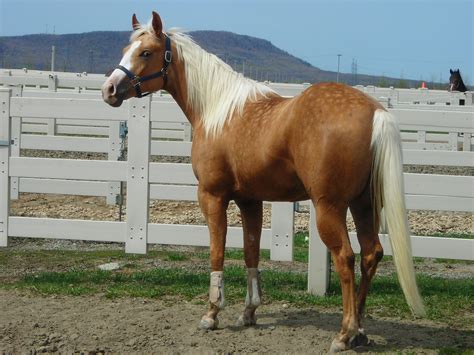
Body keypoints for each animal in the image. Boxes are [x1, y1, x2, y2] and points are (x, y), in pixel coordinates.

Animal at [102, 11, 424, 354]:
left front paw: (212, 314)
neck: (217, 111)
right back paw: (360, 329)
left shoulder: (212, 197)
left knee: (346, 258)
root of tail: (375, 111)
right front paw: (249, 311)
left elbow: (217, 252)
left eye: (145, 52)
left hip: (330, 208)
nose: (109, 89)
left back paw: (344, 333)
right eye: (126, 48)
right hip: (363, 205)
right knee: (370, 254)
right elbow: (251, 251)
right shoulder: (250, 201)